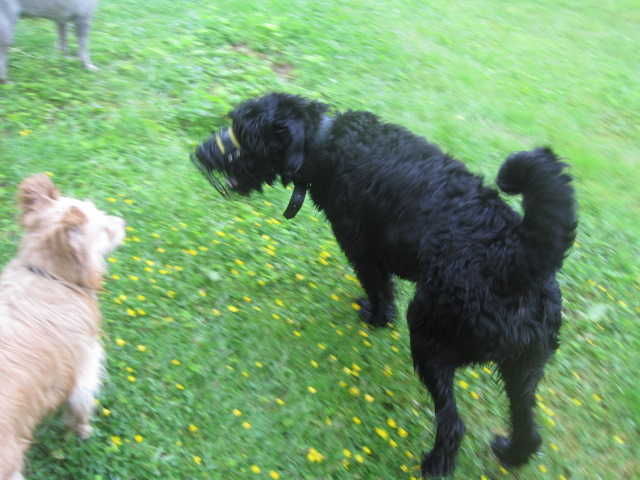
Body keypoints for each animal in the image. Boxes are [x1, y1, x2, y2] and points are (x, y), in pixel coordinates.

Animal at [0, 174, 125, 480]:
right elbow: (80, 410)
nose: (123, 221)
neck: (47, 273)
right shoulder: (85, 372)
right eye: (104, 227)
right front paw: (84, 431)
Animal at [191, 93, 577, 478]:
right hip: (524, 368)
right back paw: (511, 454)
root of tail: (512, 257)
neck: (326, 141)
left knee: (453, 424)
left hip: (429, 339)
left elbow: (379, 290)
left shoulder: (363, 251)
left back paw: (434, 464)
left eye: (242, 132)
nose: (199, 152)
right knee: (529, 428)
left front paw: (376, 318)